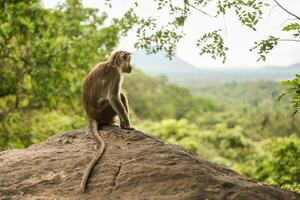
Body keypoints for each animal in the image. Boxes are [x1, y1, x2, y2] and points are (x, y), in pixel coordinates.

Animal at [78, 50, 134, 194]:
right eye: (128, 60)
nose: (131, 67)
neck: (113, 63)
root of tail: (90, 115)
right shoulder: (116, 74)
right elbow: (114, 97)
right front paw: (127, 125)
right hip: (103, 112)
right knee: (118, 97)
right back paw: (117, 124)